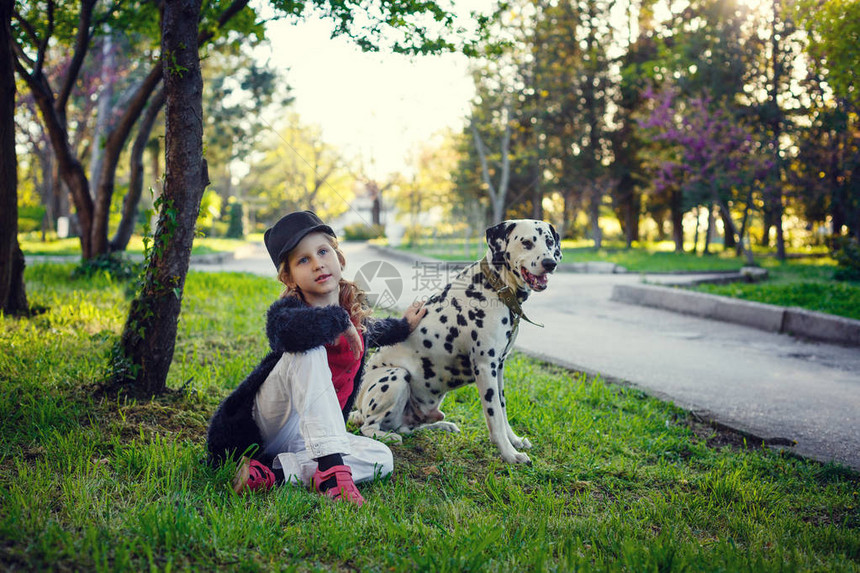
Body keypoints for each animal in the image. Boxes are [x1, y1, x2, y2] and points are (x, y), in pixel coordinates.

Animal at [350, 219, 564, 464]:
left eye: (549, 241)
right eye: (527, 242)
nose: (549, 263)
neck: (495, 287)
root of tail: (358, 410)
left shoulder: (499, 368)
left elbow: (503, 411)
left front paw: (515, 441)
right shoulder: (485, 367)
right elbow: (494, 418)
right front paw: (510, 454)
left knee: (408, 427)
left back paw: (441, 426)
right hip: (395, 376)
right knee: (369, 427)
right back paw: (387, 436)